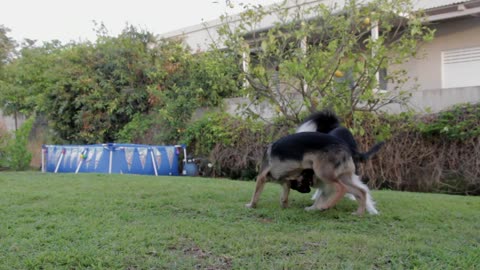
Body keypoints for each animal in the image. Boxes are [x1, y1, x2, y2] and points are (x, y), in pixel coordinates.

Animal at [246, 131, 376, 215]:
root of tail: (347, 147)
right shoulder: (286, 182)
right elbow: (284, 197)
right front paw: (285, 207)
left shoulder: (261, 177)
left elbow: (255, 194)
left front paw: (251, 205)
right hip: (343, 177)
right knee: (361, 191)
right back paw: (359, 213)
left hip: (323, 173)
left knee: (341, 188)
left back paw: (326, 206)